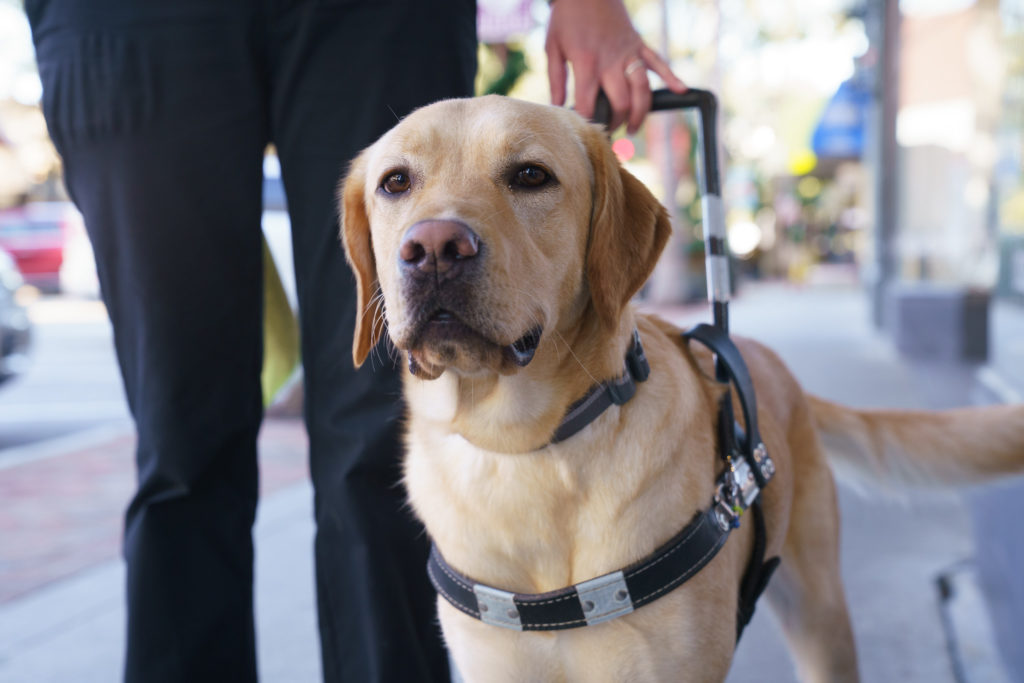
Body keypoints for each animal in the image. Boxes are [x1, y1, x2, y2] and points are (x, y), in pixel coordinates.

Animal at [339, 97, 1024, 683]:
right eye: (395, 183)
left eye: (531, 176)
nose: (433, 247)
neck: (525, 447)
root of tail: (767, 357)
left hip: (821, 611)